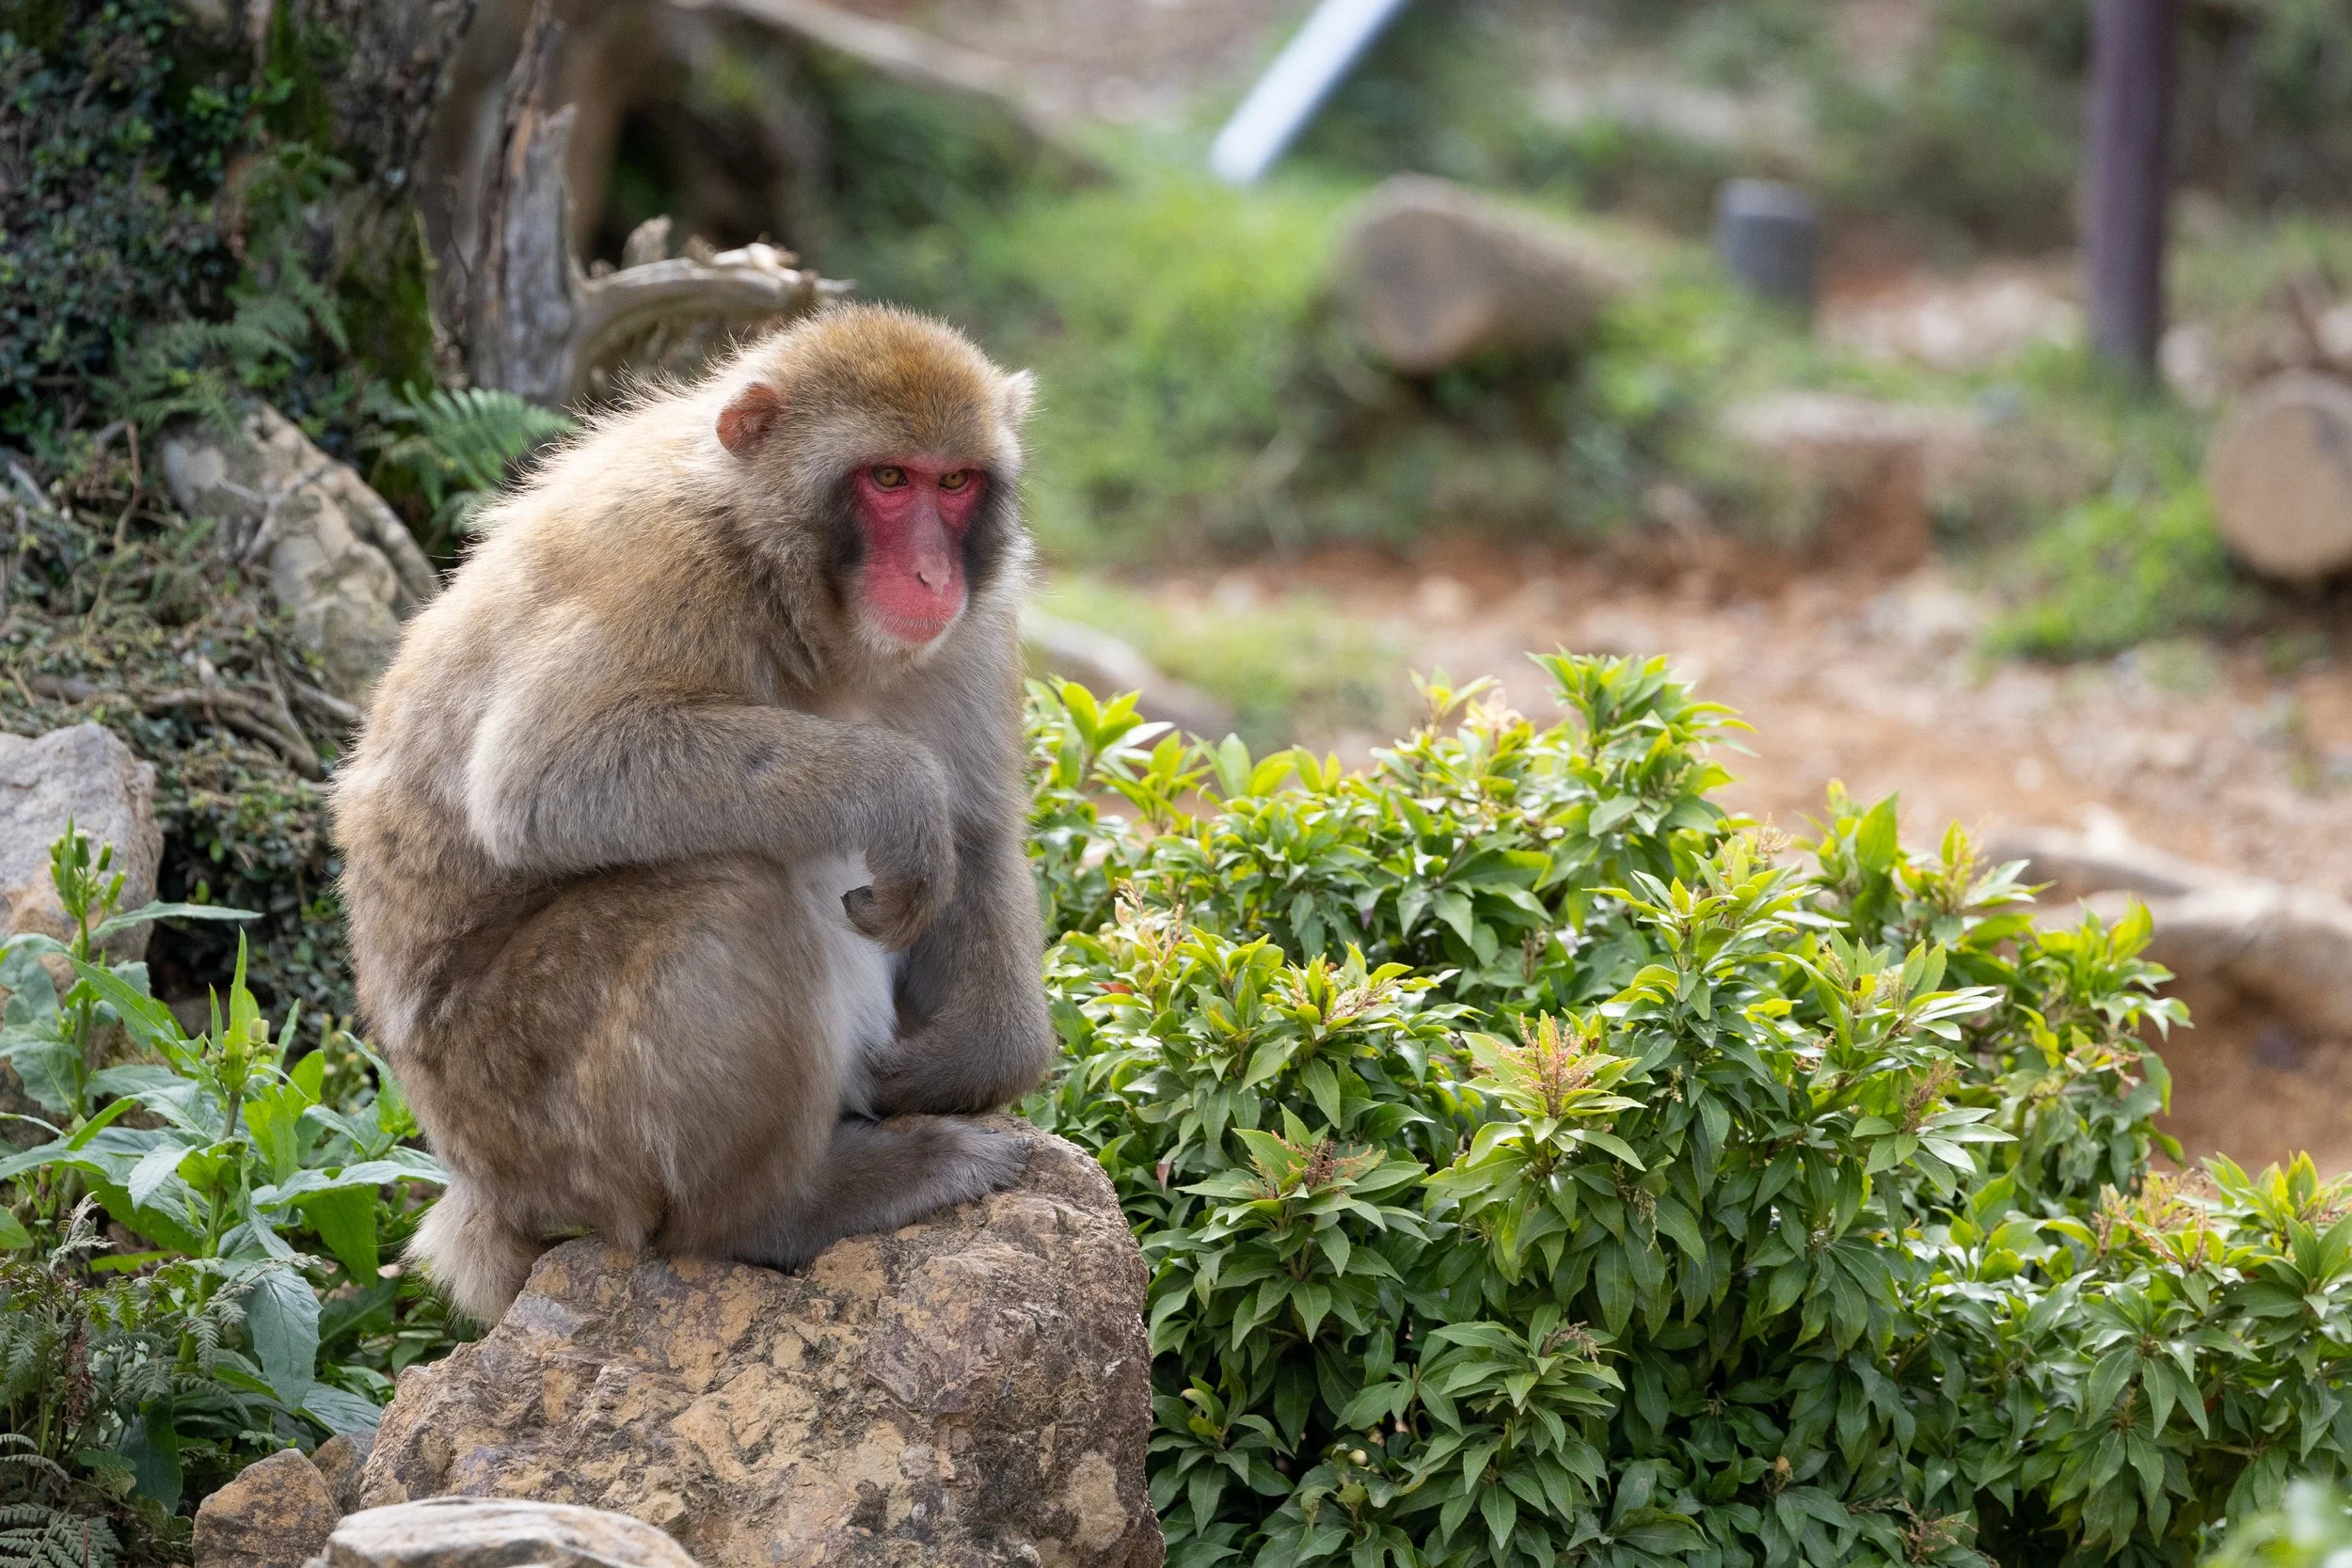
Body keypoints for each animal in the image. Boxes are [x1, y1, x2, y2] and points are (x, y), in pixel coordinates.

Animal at [332, 304, 1056, 1323]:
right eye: (886, 479)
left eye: (954, 483)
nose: (928, 575)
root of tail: (477, 1189)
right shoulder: (672, 567)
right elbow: (542, 775)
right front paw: (899, 789)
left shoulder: (976, 628)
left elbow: (982, 831)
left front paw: (976, 1060)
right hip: (531, 1119)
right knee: (730, 887)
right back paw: (783, 1208)